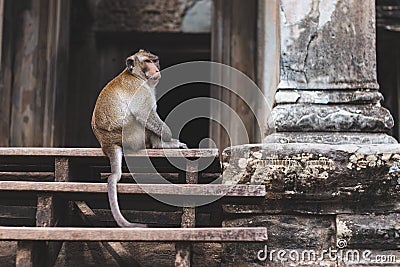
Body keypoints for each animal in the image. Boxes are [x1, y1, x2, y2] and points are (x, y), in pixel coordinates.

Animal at [92, 49, 188, 228]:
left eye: (154, 60)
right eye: (147, 62)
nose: (156, 69)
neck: (136, 75)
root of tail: (107, 143)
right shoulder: (139, 88)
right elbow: (143, 113)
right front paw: (168, 136)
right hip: (131, 134)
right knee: (139, 118)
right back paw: (161, 145)